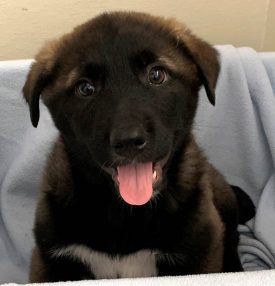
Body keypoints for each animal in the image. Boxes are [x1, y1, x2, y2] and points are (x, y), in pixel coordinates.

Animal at [22, 11, 256, 282]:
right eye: (85, 88)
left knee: (233, 238)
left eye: (156, 75)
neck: (124, 213)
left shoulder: (202, 251)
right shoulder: (49, 260)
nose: (129, 142)